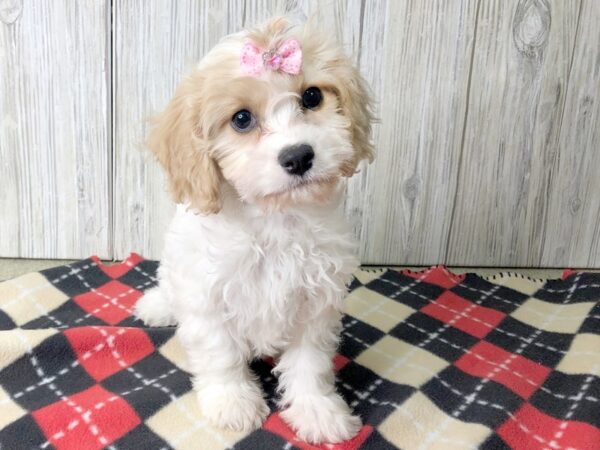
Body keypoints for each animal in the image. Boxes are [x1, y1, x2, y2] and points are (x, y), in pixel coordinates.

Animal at [134, 15, 372, 444]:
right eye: (241, 119)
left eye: (312, 96)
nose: (298, 156)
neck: (275, 218)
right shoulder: (208, 296)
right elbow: (221, 355)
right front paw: (233, 403)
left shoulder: (315, 303)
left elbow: (309, 363)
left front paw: (318, 411)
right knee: (170, 290)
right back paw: (157, 305)